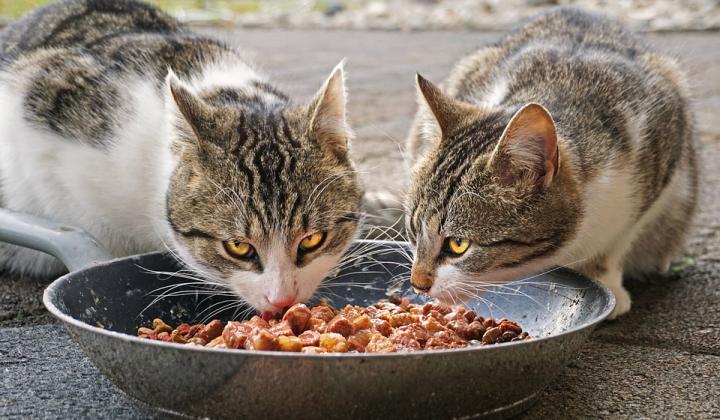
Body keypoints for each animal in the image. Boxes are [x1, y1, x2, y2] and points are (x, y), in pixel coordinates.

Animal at [402, 7, 696, 318]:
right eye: (413, 230)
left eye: (458, 245)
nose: (418, 284)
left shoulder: (662, 147)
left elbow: (615, 242)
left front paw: (605, 281)